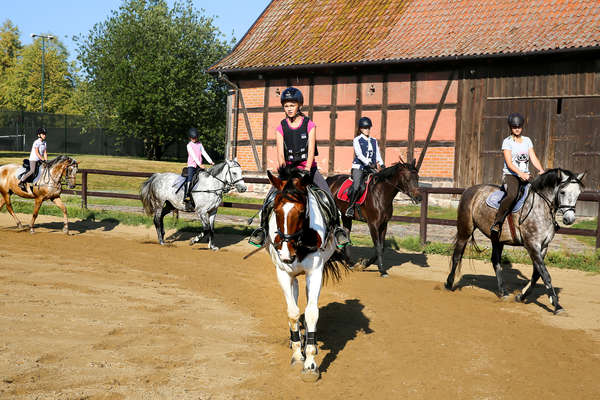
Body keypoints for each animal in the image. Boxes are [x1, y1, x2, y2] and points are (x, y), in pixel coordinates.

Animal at [264, 165, 350, 382]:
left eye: (302, 211)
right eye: (276, 210)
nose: (287, 254)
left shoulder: (315, 273)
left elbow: (311, 313)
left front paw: (311, 364)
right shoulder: (283, 274)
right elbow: (293, 313)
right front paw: (297, 355)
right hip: (292, 277)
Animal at [446, 167, 584, 314]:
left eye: (578, 193)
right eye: (563, 192)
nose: (569, 219)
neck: (541, 207)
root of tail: (470, 190)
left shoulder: (543, 247)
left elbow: (537, 274)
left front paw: (521, 296)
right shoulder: (532, 245)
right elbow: (545, 274)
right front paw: (557, 305)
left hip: (497, 239)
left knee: (495, 261)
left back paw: (503, 292)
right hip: (465, 230)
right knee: (457, 255)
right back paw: (449, 284)